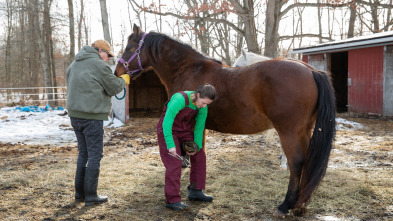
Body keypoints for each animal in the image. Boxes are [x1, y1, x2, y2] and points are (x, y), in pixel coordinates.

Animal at [115, 23, 336, 216]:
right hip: (304, 131)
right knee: (307, 162)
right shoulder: (200, 126)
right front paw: (196, 191)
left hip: (289, 132)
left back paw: (285, 206)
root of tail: (311, 70)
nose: (117, 71)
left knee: (296, 163)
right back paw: (300, 206)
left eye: (128, 48)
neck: (188, 69)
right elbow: (198, 152)